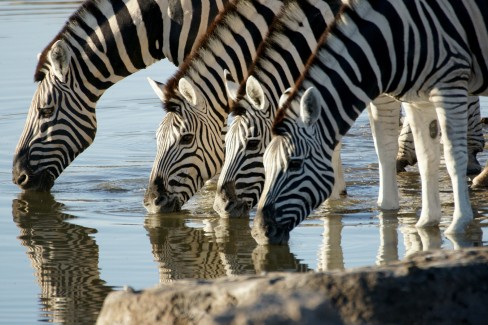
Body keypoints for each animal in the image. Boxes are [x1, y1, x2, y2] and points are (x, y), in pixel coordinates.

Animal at [252, 0, 488, 243]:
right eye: (264, 162)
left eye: (295, 164)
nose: (259, 232)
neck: (393, 37)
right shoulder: (418, 101)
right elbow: (426, 159)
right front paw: (426, 223)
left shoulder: (449, 85)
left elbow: (452, 156)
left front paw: (458, 224)